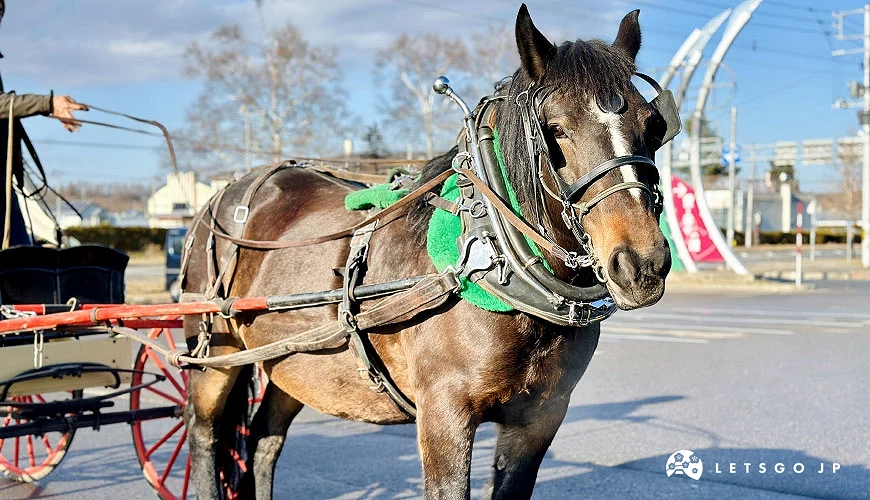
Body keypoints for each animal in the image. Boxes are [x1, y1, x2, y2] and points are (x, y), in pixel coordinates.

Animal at [181, 5, 672, 499]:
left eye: (654, 126)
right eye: (555, 130)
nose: (642, 263)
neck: (492, 255)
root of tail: (226, 192)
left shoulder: (539, 418)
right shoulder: (443, 415)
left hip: (294, 361)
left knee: (264, 442)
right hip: (214, 355)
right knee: (205, 436)